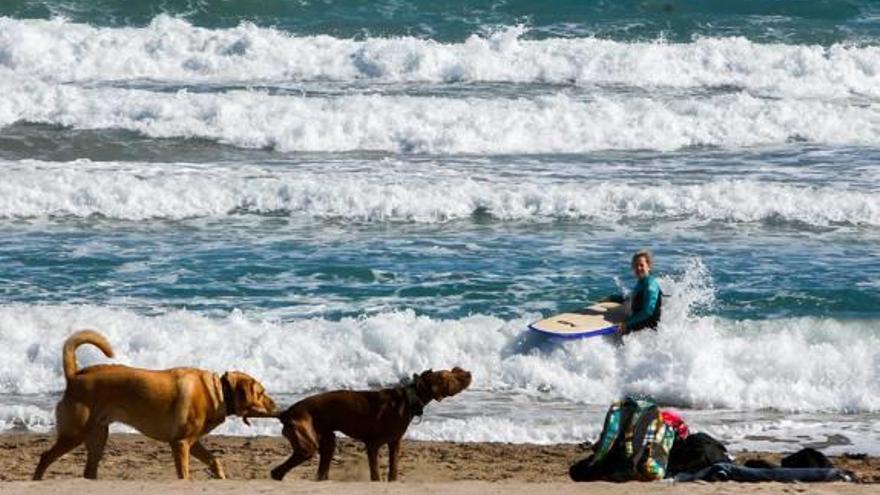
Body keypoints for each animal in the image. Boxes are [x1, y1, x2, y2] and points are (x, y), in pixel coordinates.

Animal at [33, 330, 276, 480]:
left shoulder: (192, 442)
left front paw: (220, 476)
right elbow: (184, 474)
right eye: (262, 392)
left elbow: (214, 460)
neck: (220, 392)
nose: (276, 405)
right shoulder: (180, 444)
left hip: (98, 436)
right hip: (74, 433)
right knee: (45, 457)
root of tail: (75, 375)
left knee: (88, 471)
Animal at [272, 368, 470, 480]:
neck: (409, 398)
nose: (469, 373)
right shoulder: (372, 445)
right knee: (279, 471)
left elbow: (393, 471)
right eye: (448, 376)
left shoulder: (395, 443)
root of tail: (285, 412)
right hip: (306, 444)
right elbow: (375, 474)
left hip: (327, 439)